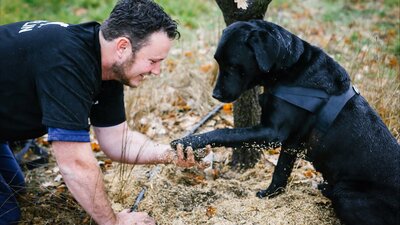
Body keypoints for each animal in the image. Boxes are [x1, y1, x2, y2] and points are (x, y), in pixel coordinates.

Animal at [173, 20, 400, 224]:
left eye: (233, 65)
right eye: (218, 62)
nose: (216, 94)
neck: (289, 68)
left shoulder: (272, 133)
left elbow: (224, 132)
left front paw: (187, 141)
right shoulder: (292, 141)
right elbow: (281, 170)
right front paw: (271, 194)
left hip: (346, 195)